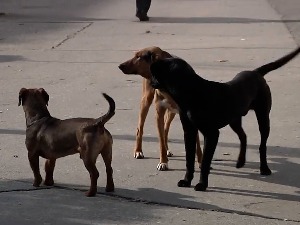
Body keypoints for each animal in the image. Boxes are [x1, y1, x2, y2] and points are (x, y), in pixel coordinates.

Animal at [151, 46, 300, 191]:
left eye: (154, 74)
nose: (151, 82)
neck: (192, 91)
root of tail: (255, 73)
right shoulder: (189, 132)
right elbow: (189, 160)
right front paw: (187, 181)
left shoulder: (211, 133)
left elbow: (205, 162)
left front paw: (202, 184)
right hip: (234, 120)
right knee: (243, 136)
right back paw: (240, 161)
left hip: (263, 117)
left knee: (262, 145)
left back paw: (264, 168)